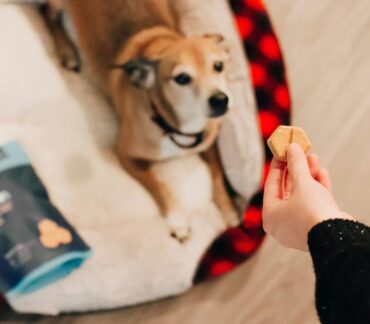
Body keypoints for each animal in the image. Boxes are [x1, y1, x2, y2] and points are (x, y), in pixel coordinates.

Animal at [42, 0, 238, 240]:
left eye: (218, 66)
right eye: (182, 78)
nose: (220, 100)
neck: (175, 126)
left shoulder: (209, 145)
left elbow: (218, 175)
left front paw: (229, 211)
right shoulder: (125, 154)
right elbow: (158, 185)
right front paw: (177, 219)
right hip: (58, 5)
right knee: (47, 12)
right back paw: (67, 51)